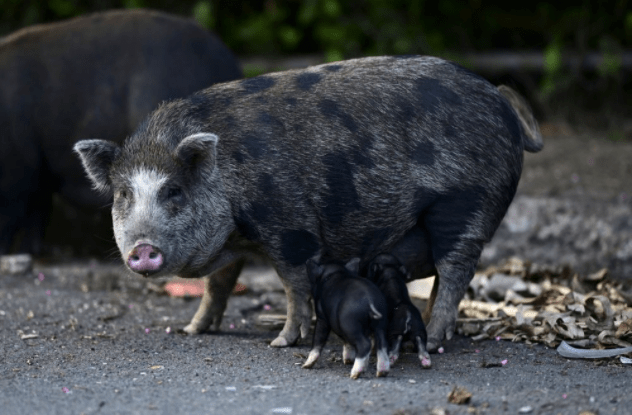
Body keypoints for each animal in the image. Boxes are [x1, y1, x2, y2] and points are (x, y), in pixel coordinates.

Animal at [73, 56, 540, 352]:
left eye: (173, 191)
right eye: (123, 194)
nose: (142, 249)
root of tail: (501, 100)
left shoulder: (290, 226)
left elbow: (294, 285)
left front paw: (281, 341)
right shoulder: (232, 243)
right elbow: (218, 285)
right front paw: (191, 330)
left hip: (465, 205)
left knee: (456, 270)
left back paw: (440, 339)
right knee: (445, 279)